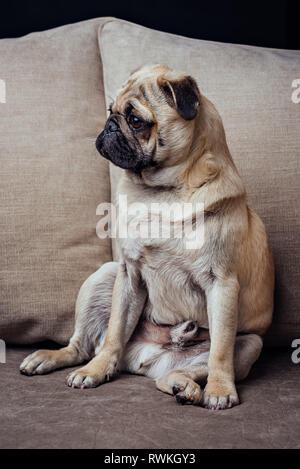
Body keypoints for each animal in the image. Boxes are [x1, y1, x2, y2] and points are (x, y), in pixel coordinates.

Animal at [20, 64, 274, 408]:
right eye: (110, 111)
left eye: (136, 120)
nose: (110, 126)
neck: (161, 192)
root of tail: (149, 360)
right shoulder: (128, 273)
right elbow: (115, 331)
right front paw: (96, 371)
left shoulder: (222, 284)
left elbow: (220, 353)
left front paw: (221, 390)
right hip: (104, 277)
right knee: (85, 347)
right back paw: (60, 360)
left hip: (250, 343)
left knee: (191, 369)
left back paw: (186, 386)